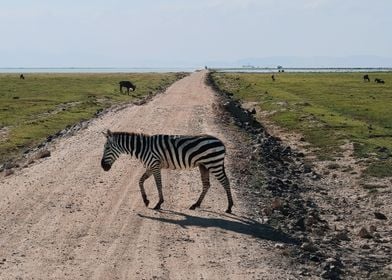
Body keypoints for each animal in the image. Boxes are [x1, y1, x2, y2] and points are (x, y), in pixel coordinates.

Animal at [101, 130, 234, 213]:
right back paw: (195, 205)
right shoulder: (150, 167)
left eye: (107, 148)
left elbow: (158, 184)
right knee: (206, 184)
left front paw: (159, 203)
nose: (103, 166)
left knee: (225, 182)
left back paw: (229, 207)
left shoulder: (155, 165)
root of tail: (221, 142)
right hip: (204, 166)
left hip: (214, 164)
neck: (143, 148)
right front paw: (146, 200)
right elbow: (140, 181)